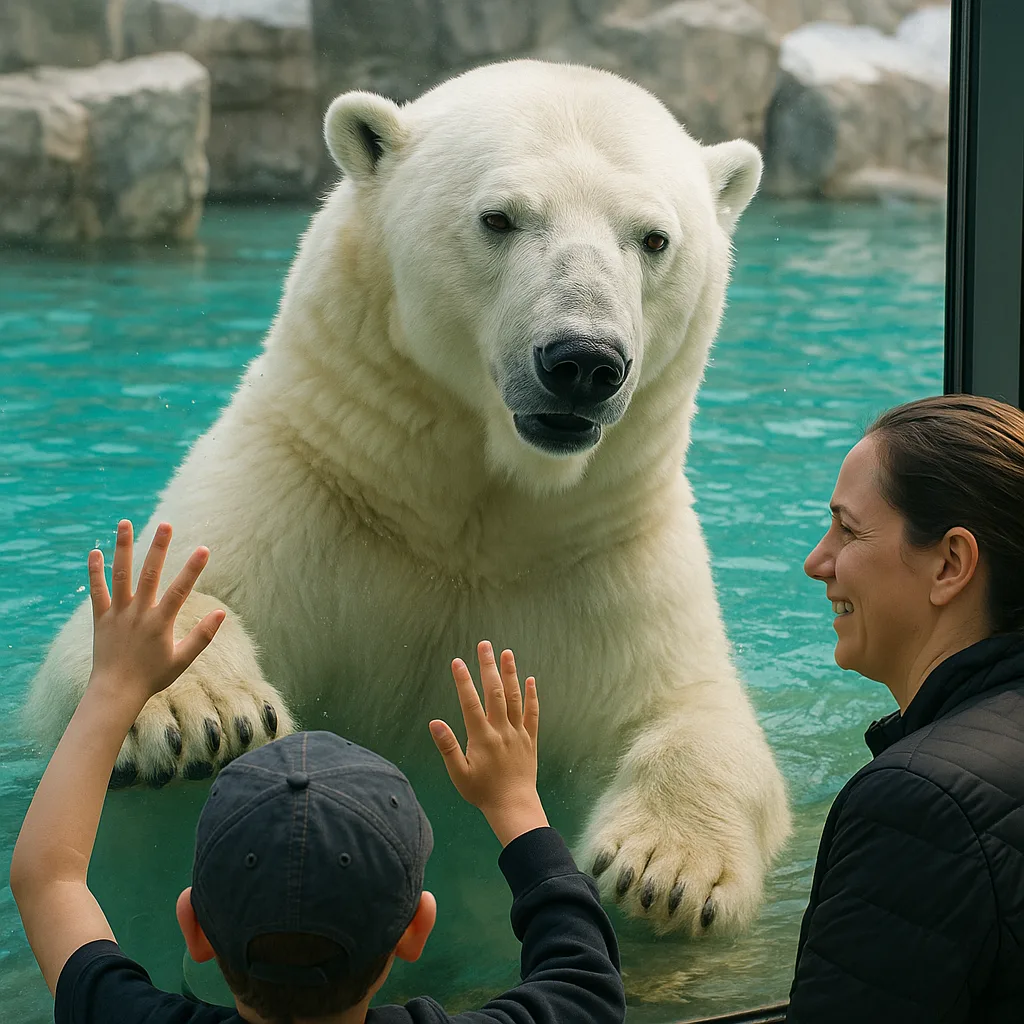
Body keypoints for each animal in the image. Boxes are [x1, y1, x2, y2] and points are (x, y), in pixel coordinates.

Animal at [25, 58, 791, 938]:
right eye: (499, 218)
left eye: (655, 238)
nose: (583, 361)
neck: (466, 517)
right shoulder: (305, 485)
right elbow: (132, 619)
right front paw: (197, 712)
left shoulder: (603, 559)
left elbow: (696, 712)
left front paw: (668, 868)